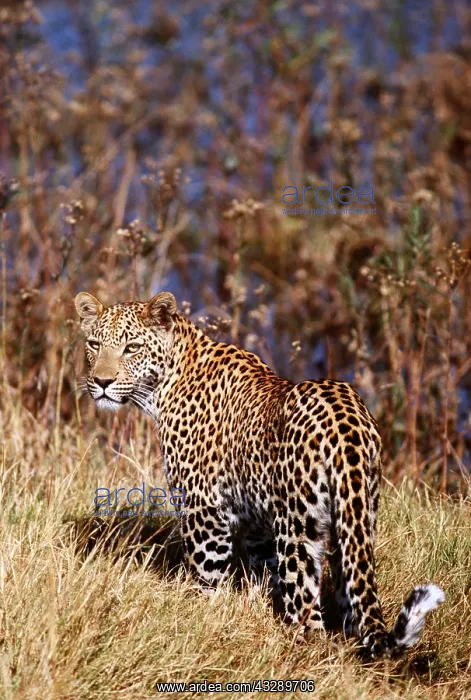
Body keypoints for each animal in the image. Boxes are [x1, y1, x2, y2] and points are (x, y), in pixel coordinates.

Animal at [75, 290, 444, 659]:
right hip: (356, 516)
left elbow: (208, 578)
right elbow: (265, 574)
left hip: (299, 531)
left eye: (132, 347)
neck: (164, 386)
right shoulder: (256, 522)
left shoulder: (203, 511)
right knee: (351, 595)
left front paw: (199, 621)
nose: (102, 383)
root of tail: (346, 420)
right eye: (93, 344)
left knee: (308, 613)